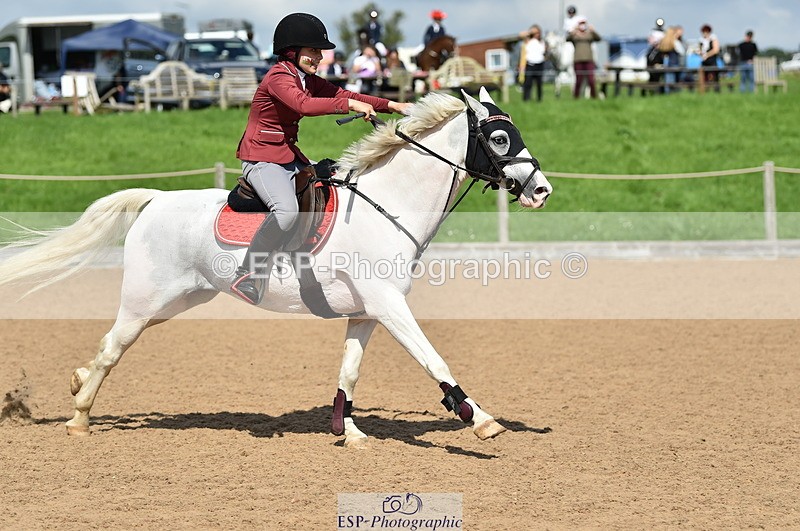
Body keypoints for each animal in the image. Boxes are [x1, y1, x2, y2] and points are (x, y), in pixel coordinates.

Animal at [0, 88, 552, 447]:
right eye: (500, 139)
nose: (542, 190)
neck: (388, 205)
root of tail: (156, 198)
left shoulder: (368, 312)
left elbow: (349, 372)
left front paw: (349, 432)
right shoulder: (390, 306)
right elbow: (434, 360)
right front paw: (480, 420)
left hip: (176, 301)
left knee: (108, 344)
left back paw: (78, 384)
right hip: (145, 299)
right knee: (114, 346)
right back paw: (78, 418)